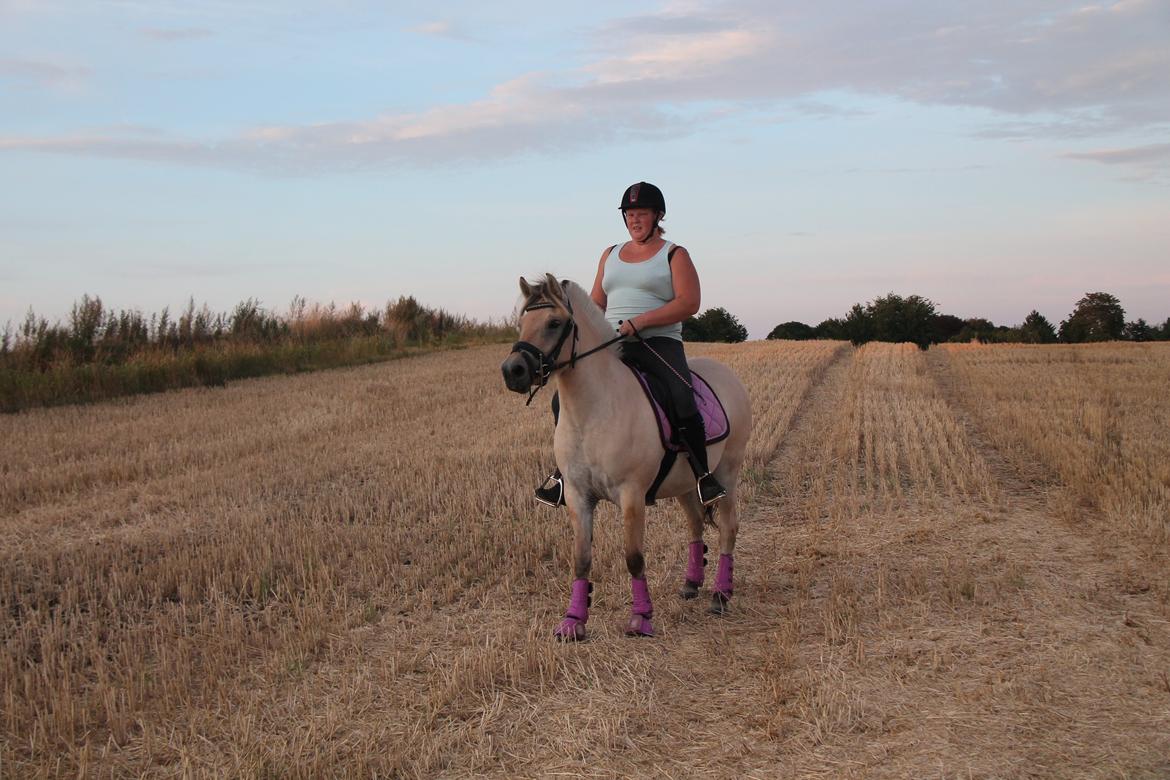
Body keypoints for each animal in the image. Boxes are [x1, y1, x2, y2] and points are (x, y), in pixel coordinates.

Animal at [498, 274, 753, 640]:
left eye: (554, 322)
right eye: (522, 322)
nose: (512, 371)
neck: (593, 410)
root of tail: (727, 374)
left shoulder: (631, 495)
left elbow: (634, 557)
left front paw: (641, 618)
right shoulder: (577, 495)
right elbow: (581, 558)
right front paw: (573, 622)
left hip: (728, 473)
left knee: (729, 528)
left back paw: (720, 595)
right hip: (686, 482)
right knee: (695, 523)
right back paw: (692, 583)